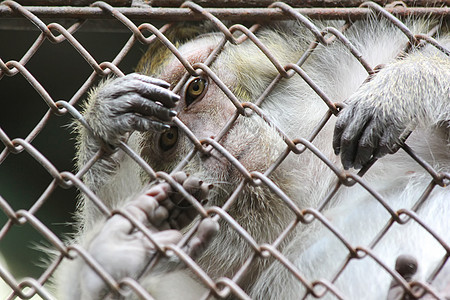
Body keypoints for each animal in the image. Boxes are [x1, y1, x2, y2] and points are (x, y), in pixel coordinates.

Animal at [54, 12, 448, 300]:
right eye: (168, 139)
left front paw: (406, 86)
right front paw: (120, 250)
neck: (307, 192)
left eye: (196, 87)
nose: (210, 142)